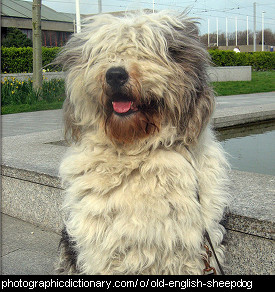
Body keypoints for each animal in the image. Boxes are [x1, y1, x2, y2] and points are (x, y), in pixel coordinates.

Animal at [55, 11, 229, 274]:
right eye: (102, 52)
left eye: (147, 50)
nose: (115, 74)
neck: (136, 149)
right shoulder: (101, 248)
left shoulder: (187, 247)